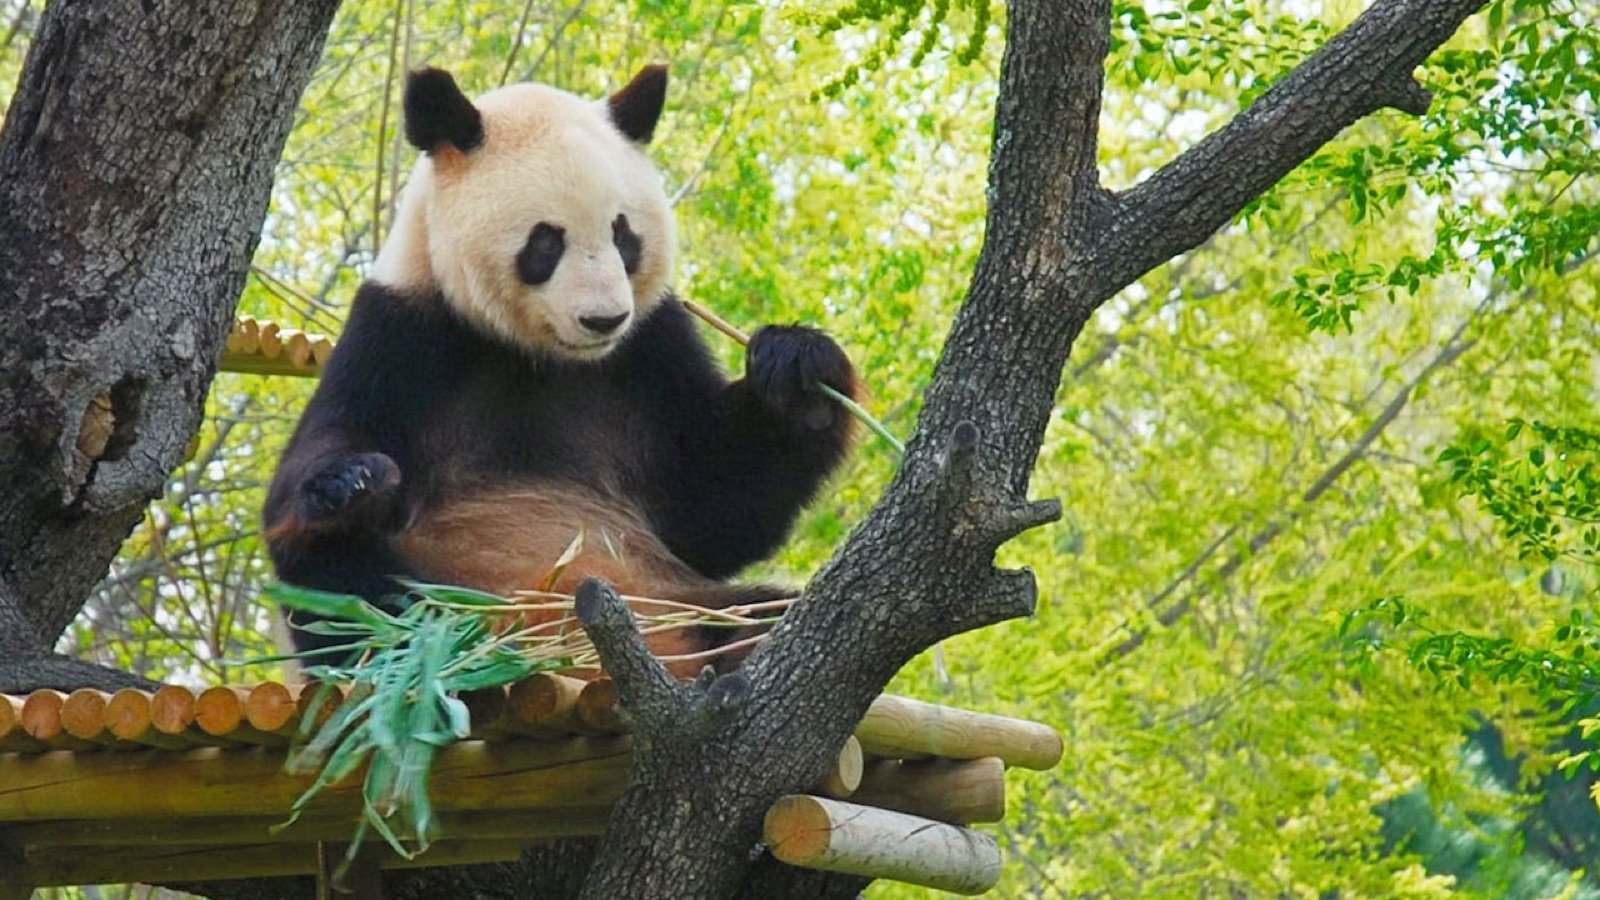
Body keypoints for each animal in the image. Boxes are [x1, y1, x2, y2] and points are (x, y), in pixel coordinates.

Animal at [262, 65, 858, 677]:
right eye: (545, 242)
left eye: (623, 235)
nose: (604, 319)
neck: (539, 355)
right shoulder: (401, 335)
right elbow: (320, 467)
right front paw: (352, 482)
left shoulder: (648, 350)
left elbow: (713, 499)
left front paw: (797, 369)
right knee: (349, 586)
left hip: (674, 598)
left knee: (762, 611)